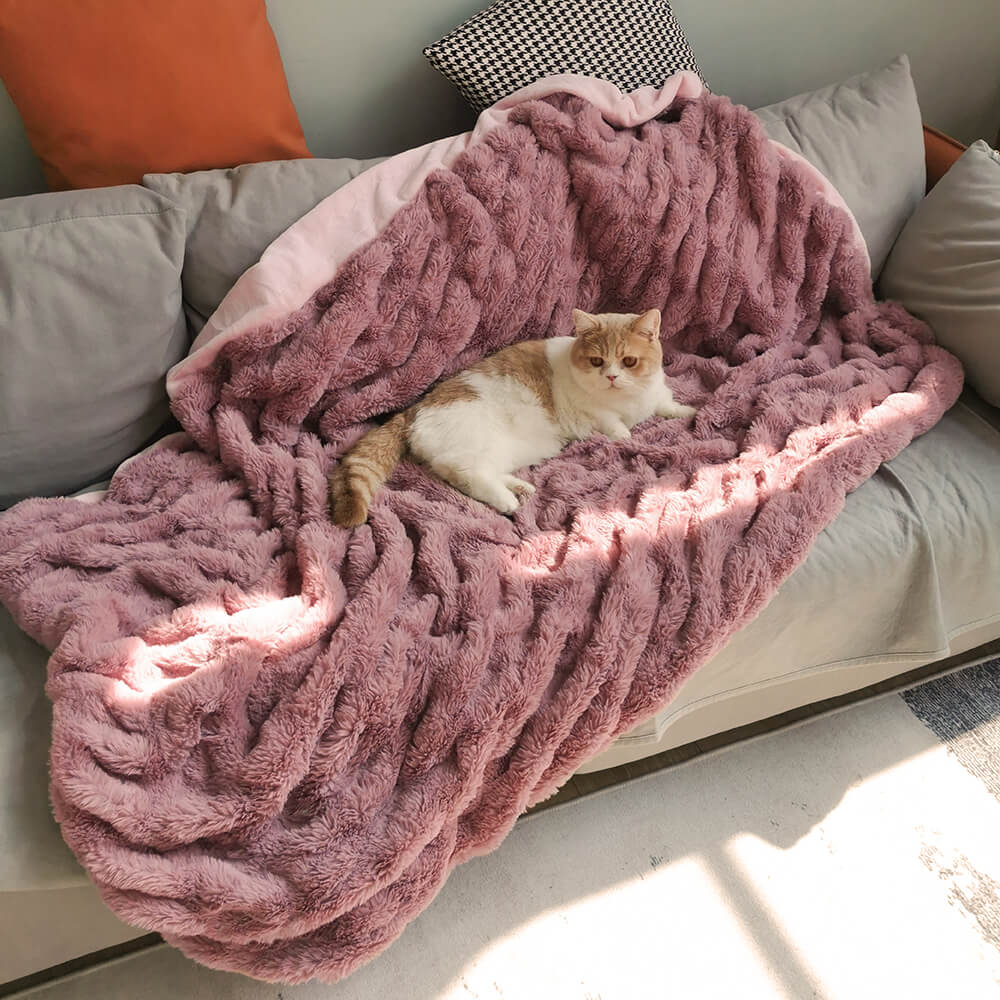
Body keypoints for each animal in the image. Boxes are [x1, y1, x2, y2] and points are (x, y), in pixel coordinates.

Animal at [328, 308, 696, 528]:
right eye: (596, 362)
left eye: (629, 361)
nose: (611, 377)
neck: (630, 401)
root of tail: (413, 409)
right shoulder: (593, 416)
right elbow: (615, 427)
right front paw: (626, 436)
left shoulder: (656, 393)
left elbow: (667, 402)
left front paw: (688, 410)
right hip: (474, 443)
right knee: (465, 473)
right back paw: (507, 501)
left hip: (510, 449)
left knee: (476, 471)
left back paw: (520, 487)